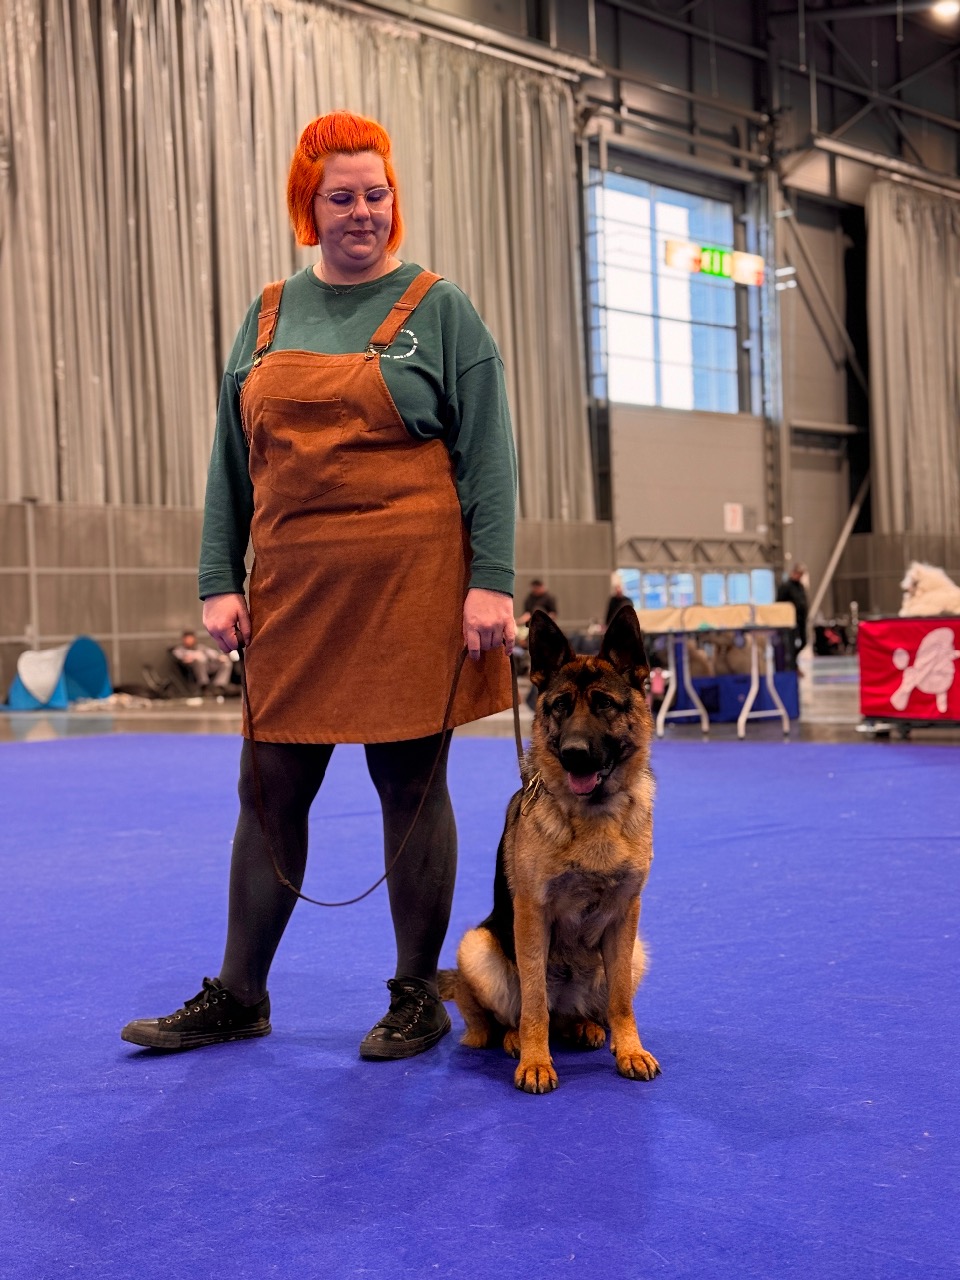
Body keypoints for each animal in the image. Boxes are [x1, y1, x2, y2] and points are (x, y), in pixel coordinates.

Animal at [439, 605, 660, 1094]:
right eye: (560, 706)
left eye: (604, 704)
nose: (575, 752)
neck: (592, 816)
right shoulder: (532, 915)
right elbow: (534, 1002)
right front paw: (536, 1062)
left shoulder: (627, 915)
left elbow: (621, 1001)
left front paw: (630, 1050)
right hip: (476, 947)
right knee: (513, 1016)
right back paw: (515, 1041)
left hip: (637, 951)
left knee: (586, 1011)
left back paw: (587, 1028)